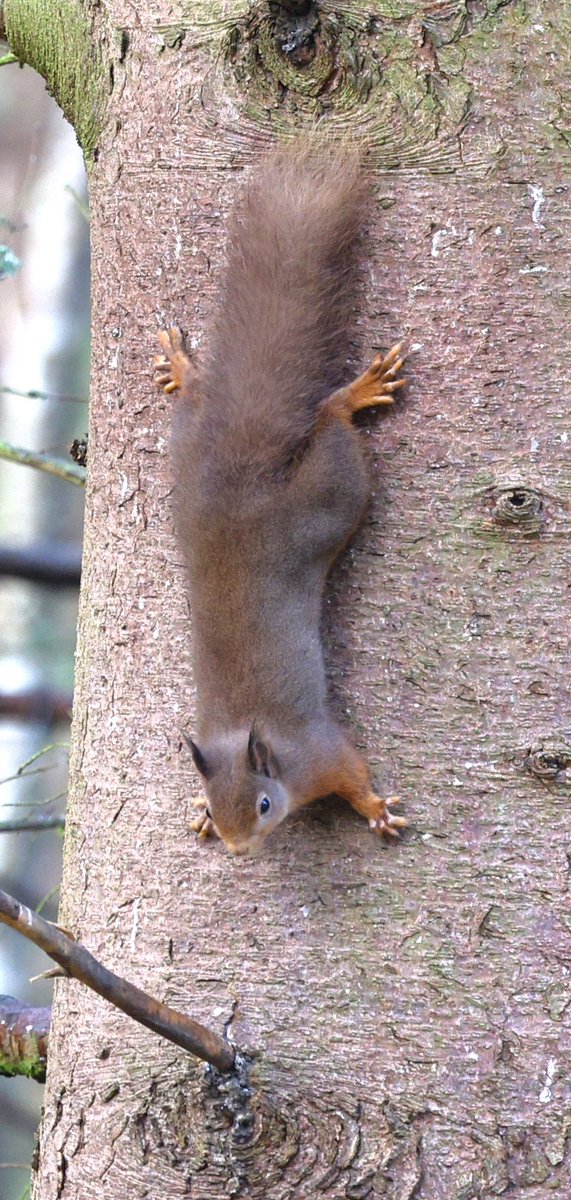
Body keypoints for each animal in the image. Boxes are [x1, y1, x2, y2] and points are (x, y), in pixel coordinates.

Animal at [154, 141, 408, 856]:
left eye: (264, 804)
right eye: (221, 807)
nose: (240, 849)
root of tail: (242, 474)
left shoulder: (318, 751)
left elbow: (352, 772)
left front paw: (375, 809)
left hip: (326, 500)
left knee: (330, 422)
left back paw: (353, 394)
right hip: (186, 457)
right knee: (197, 403)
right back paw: (185, 371)